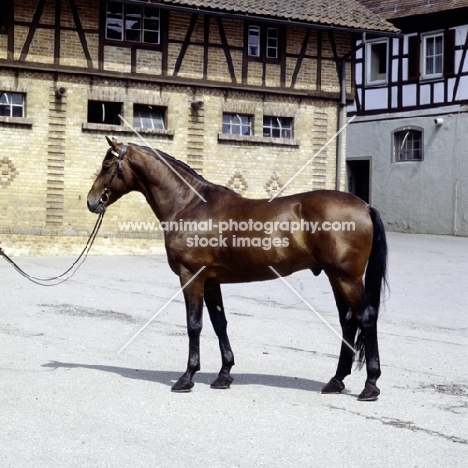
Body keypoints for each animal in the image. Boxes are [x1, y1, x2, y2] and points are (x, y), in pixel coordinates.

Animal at [87, 137, 388, 400]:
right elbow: (219, 323)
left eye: (106, 167)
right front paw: (224, 375)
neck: (189, 206)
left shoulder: (191, 277)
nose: (92, 201)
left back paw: (370, 385)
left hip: (346, 277)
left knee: (366, 317)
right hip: (336, 277)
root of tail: (364, 205)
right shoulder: (211, 281)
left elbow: (194, 325)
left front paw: (187, 377)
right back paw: (336, 381)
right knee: (348, 321)